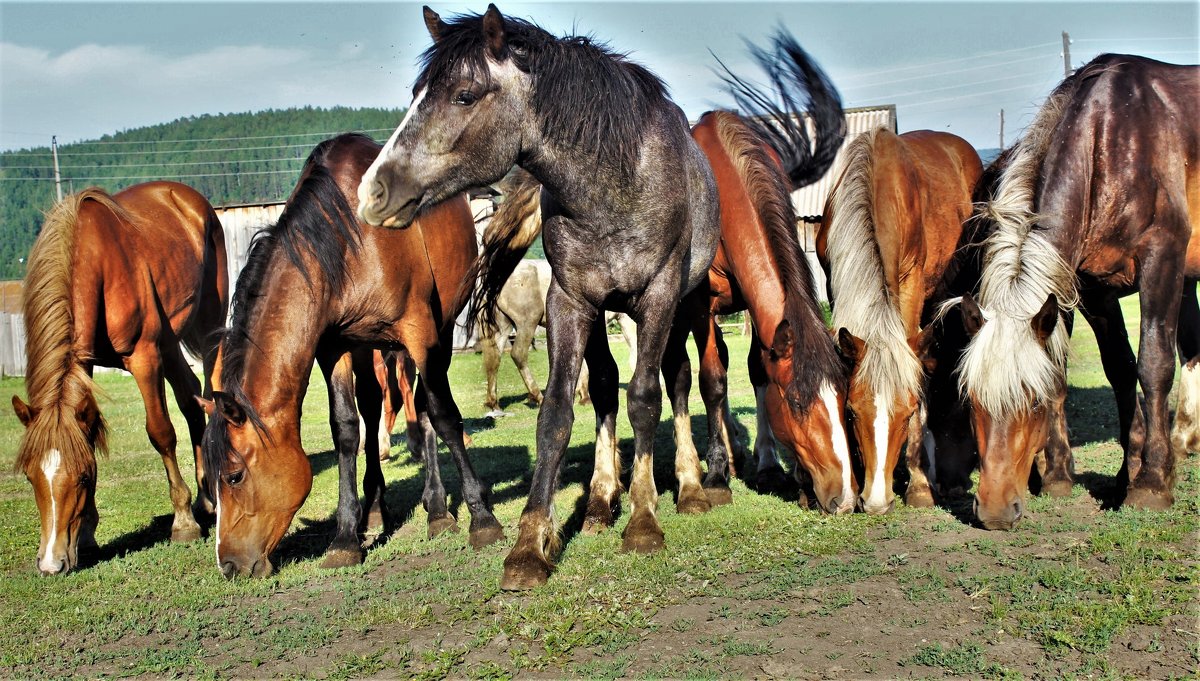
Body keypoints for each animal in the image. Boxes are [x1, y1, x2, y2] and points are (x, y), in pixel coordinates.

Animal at [10, 182, 228, 575]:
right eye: (31, 476)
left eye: (81, 477)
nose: (51, 564)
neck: (92, 261)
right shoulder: (86, 362)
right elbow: (90, 434)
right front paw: (86, 535)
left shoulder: (144, 357)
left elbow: (161, 433)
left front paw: (183, 523)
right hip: (168, 341)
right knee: (190, 399)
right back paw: (205, 496)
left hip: (206, 324)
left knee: (209, 389)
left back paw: (211, 498)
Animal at [199, 130, 499, 577]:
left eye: (234, 476)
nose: (229, 565)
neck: (346, 241)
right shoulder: (334, 347)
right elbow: (345, 430)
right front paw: (344, 537)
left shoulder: (420, 330)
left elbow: (443, 414)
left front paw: (481, 516)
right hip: (367, 345)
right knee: (374, 406)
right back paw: (374, 508)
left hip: (437, 332)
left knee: (424, 405)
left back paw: (436, 508)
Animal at [355, 6, 720, 589]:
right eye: (416, 92)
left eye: (464, 94)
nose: (373, 191)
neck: (614, 183)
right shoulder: (570, 302)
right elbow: (556, 414)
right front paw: (531, 545)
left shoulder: (658, 295)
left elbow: (645, 399)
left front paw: (643, 520)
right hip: (601, 313)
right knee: (604, 385)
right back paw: (599, 501)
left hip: (679, 305)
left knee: (677, 379)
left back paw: (688, 489)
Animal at [816, 127, 984, 513]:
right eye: (851, 413)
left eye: (906, 415)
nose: (876, 500)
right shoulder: (833, 277)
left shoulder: (912, 282)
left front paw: (920, 485)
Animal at [945, 54, 1200, 532]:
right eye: (973, 401)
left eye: (1029, 401)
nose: (993, 511)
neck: (1109, 141)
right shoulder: (1085, 287)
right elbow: (1111, 369)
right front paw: (1075, 475)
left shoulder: (1162, 263)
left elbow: (1153, 365)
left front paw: (1151, 482)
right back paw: (1187, 436)